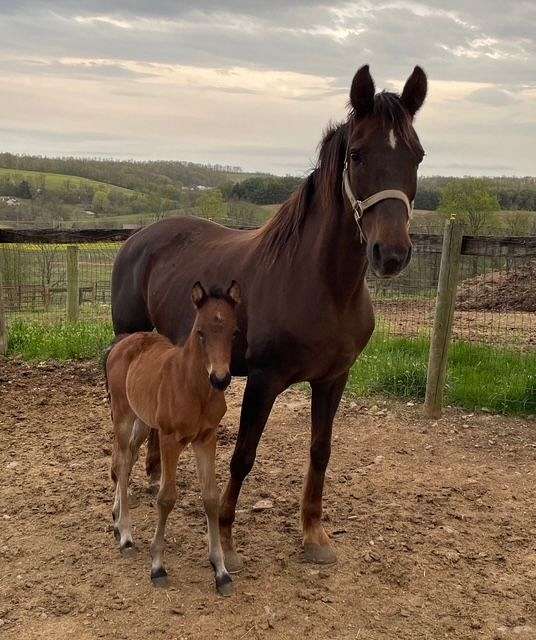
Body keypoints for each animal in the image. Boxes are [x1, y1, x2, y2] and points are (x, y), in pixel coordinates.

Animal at [105, 281, 241, 596]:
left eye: (234, 332)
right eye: (200, 332)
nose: (220, 379)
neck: (194, 387)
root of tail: (122, 342)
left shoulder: (206, 438)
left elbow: (211, 497)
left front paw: (221, 571)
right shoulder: (169, 439)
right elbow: (166, 498)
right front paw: (157, 566)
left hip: (142, 422)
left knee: (125, 460)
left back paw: (118, 522)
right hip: (123, 416)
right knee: (121, 463)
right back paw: (126, 537)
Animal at [111, 64, 427, 572]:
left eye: (416, 155)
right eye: (357, 155)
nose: (392, 254)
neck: (320, 284)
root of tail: (136, 239)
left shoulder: (333, 378)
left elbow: (321, 450)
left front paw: (314, 536)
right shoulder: (263, 380)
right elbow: (242, 456)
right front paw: (225, 542)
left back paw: (155, 475)